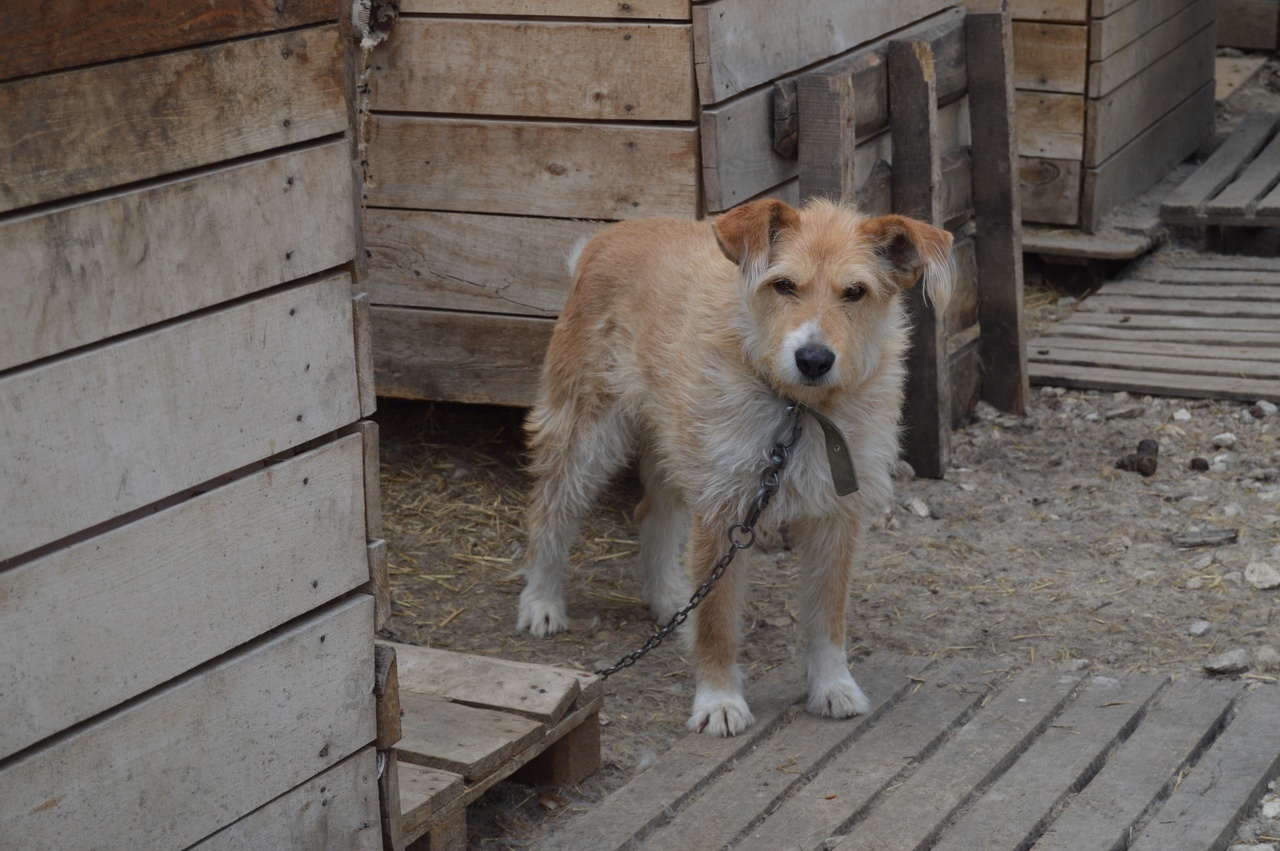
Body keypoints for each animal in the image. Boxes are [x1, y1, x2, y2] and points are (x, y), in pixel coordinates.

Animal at [512, 195, 952, 731]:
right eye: (783, 285)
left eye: (855, 292)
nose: (813, 359)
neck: (797, 411)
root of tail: (604, 238)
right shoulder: (725, 510)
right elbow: (718, 620)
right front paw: (718, 699)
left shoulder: (835, 515)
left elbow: (828, 613)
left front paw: (832, 686)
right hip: (585, 436)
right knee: (551, 512)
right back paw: (541, 600)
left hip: (677, 446)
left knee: (653, 516)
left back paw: (674, 599)